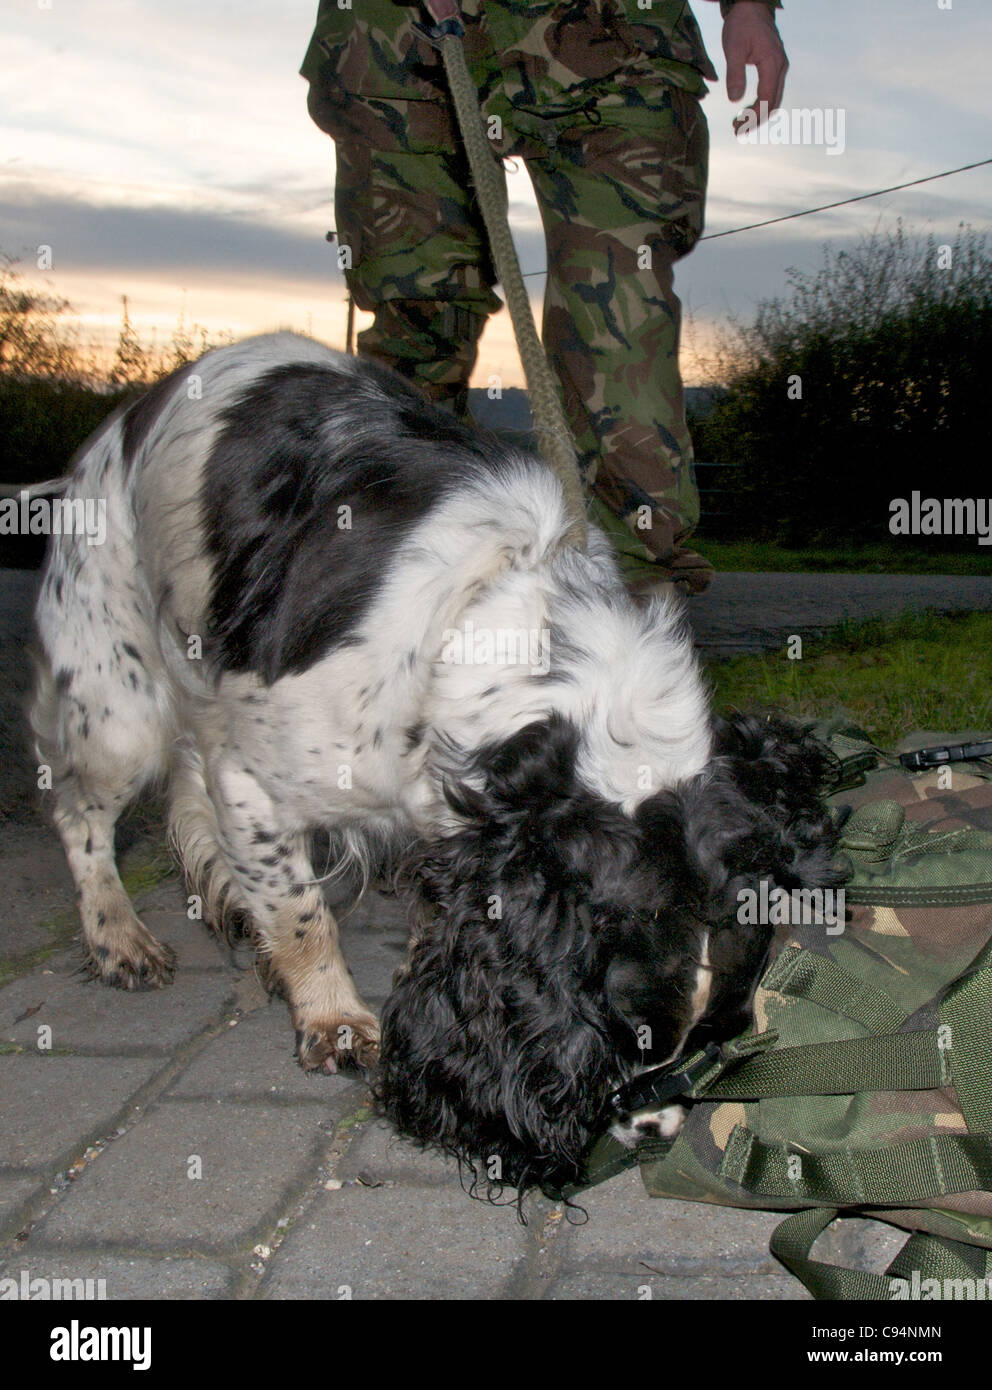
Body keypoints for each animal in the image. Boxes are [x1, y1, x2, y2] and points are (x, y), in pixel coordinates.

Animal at [29, 333, 833, 1195]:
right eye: (628, 1038)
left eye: (717, 1039)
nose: (655, 1131)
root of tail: (131, 411)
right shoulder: (252, 786)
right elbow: (301, 914)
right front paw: (333, 1019)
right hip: (116, 703)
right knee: (80, 815)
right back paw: (118, 938)